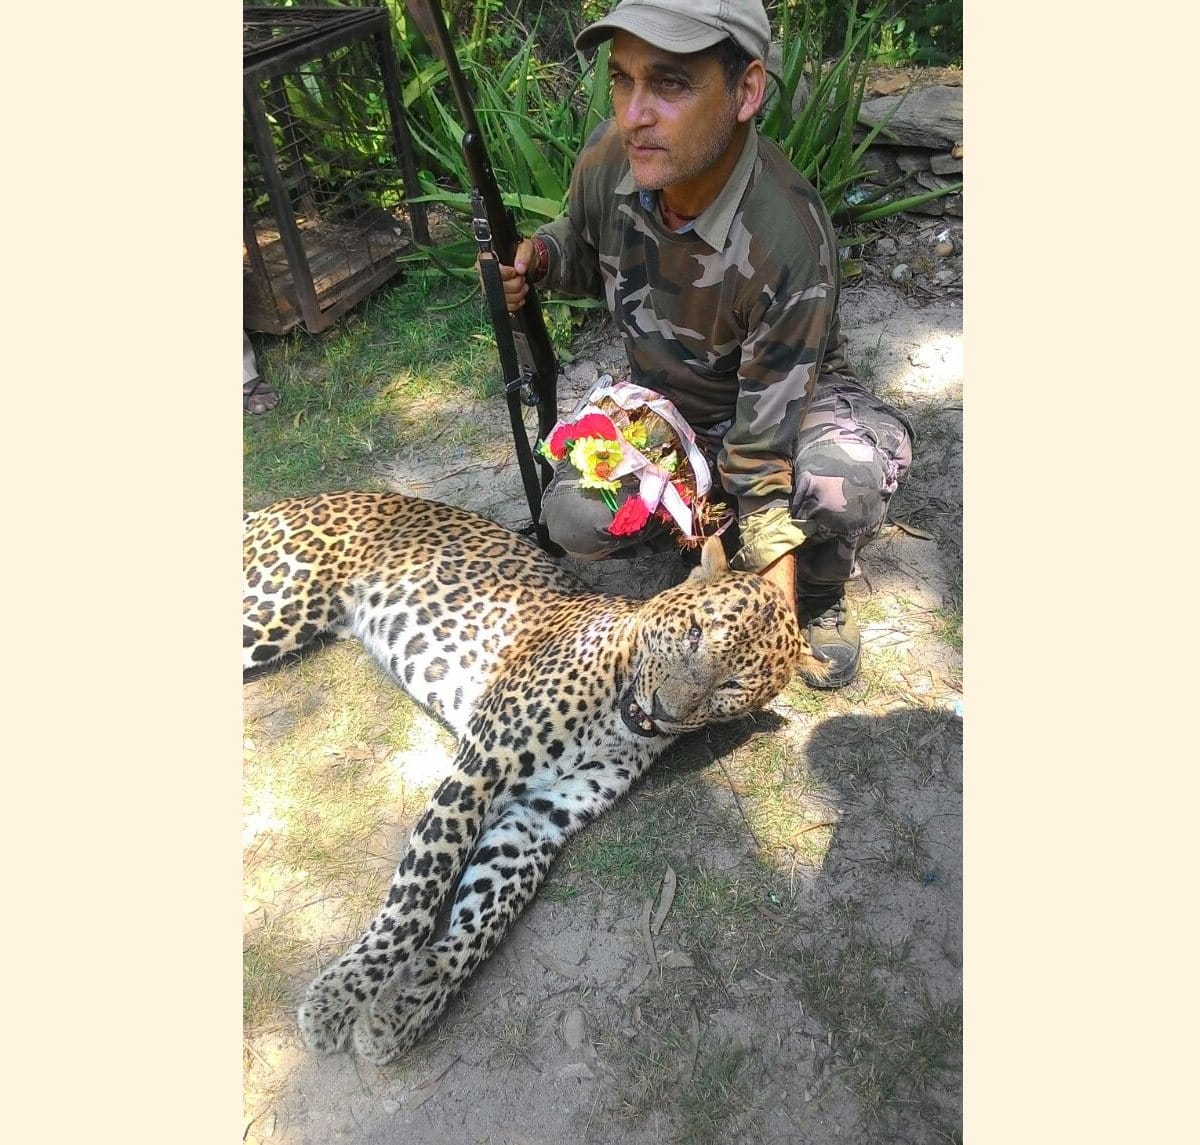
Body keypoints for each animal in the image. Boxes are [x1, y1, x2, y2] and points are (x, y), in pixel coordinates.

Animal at [243, 490, 820, 1064]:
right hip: (270, 611)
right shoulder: (480, 767)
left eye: (733, 685)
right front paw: (342, 995)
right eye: (695, 633)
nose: (664, 709)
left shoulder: (535, 819)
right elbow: (417, 897)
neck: (614, 716)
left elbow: (488, 912)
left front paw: (410, 1001)